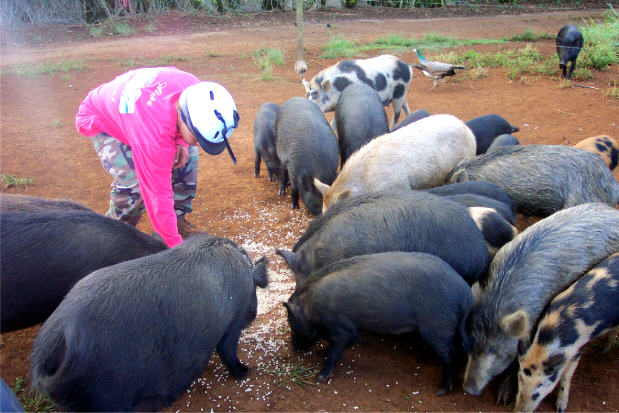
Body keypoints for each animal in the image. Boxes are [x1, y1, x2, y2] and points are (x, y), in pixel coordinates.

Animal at [512, 251, 619, 412]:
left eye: (540, 387)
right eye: (520, 379)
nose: (518, 411)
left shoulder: (578, 347)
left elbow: (566, 375)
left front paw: (560, 408)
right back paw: (601, 350)